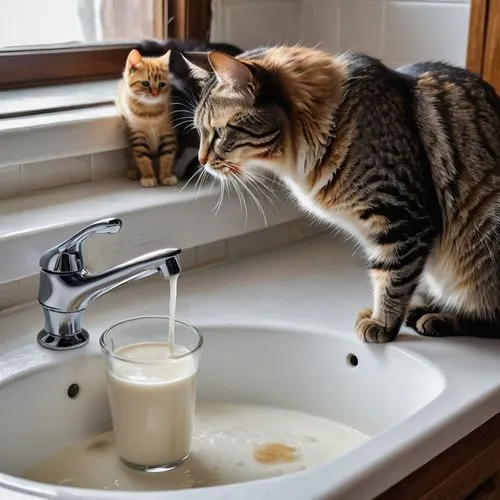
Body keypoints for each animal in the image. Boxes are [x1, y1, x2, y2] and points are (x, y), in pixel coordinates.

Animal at [116, 48, 179, 187]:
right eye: (145, 83)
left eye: (162, 84)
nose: (155, 93)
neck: (150, 112)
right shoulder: (137, 135)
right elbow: (143, 158)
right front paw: (148, 176)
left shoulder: (168, 133)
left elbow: (167, 156)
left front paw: (166, 176)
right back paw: (133, 172)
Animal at [182, 47, 500, 344]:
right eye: (199, 132)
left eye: (218, 133)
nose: (201, 161)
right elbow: (385, 273)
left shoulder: (405, 218)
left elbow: (394, 276)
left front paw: (383, 322)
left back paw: (440, 318)